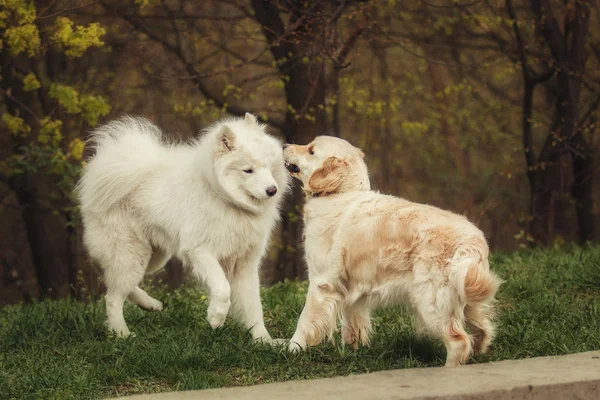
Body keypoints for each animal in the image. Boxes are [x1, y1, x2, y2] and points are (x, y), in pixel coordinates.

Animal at [78, 111, 290, 340]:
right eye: (248, 170)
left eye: (268, 167)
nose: (272, 190)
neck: (228, 201)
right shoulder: (200, 251)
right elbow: (223, 288)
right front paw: (216, 317)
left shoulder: (246, 264)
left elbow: (253, 306)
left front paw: (263, 340)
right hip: (131, 254)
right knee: (113, 297)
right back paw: (122, 333)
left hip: (154, 258)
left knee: (120, 285)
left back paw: (149, 304)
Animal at [284, 137, 500, 366]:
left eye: (311, 150)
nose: (284, 145)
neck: (341, 194)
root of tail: (474, 240)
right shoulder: (351, 285)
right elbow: (352, 322)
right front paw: (353, 350)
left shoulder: (321, 281)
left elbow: (304, 320)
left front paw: (292, 349)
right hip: (466, 299)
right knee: (482, 329)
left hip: (431, 303)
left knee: (459, 341)